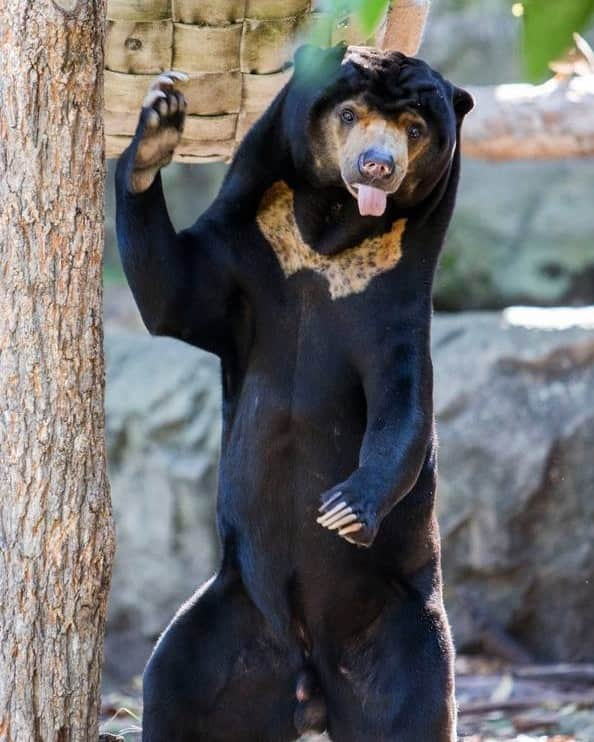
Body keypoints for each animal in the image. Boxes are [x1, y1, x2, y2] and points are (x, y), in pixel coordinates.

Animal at [114, 43, 472, 740]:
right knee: (174, 686)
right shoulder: (246, 257)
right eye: (349, 113)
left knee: (411, 706)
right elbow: (174, 296)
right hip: (228, 623)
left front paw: (342, 509)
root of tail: (308, 678)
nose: (378, 166)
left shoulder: (392, 309)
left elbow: (404, 409)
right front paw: (159, 122)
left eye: (416, 129)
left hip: (397, 625)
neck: (328, 240)